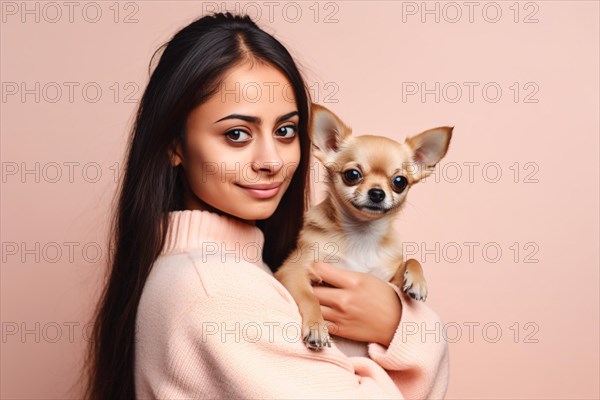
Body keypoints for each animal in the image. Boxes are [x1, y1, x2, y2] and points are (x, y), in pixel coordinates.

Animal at [274, 102, 452, 350]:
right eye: (352, 175)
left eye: (400, 182)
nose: (377, 193)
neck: (362, 233)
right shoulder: (294, 270)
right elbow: (309, 297)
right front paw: (317, 327)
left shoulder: (386, 280)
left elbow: (412, 260)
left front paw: (417, 282)